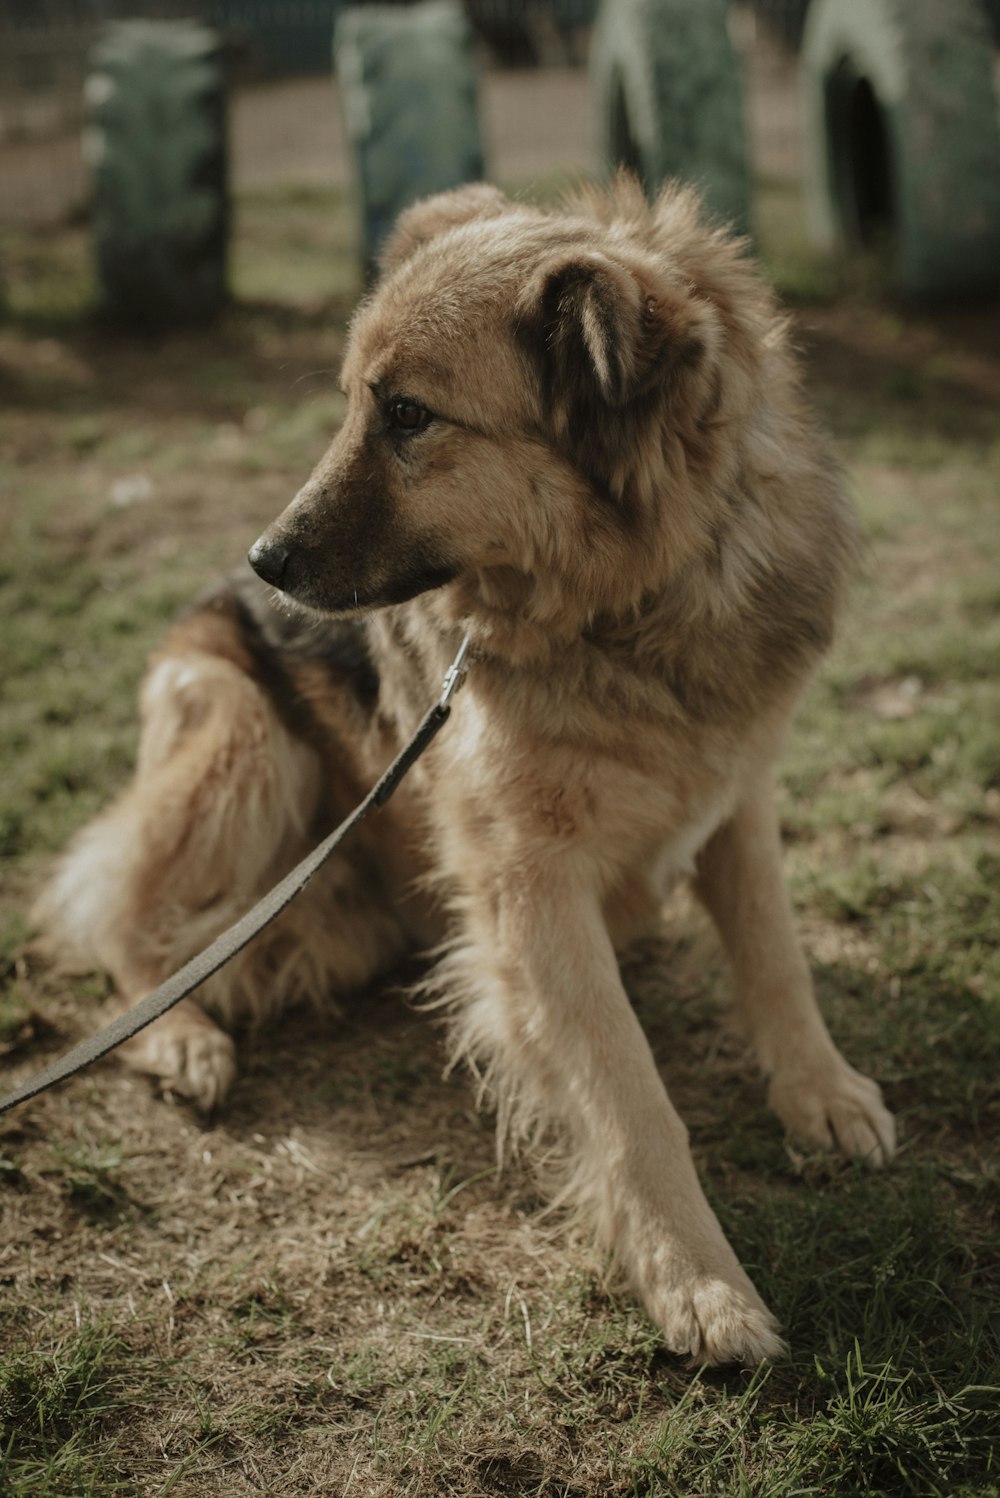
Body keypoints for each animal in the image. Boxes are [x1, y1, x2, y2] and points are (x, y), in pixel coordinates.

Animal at [37, 170, 898, 1366]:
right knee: (126, 919)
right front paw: (695, 1280)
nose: (264, 561)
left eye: (407, 415)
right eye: (356, 402)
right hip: (241, 734)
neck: (634, 610)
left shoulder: (737, 791)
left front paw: (820, 1091)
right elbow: (627, 1093)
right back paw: (178, 1034)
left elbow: (776, 956)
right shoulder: (527, 882)